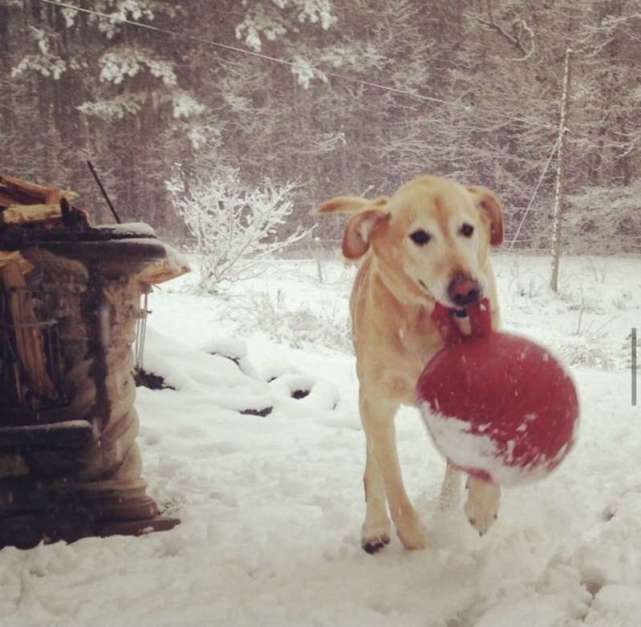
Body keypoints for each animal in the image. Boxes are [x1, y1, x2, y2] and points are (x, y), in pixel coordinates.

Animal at [318, 174, 502, 552]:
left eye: (467, 228)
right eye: (419, 236)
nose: (468, 290)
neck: (427, 323)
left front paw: (481, 503)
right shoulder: (377, 403)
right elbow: (391, 476)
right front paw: (412, 534)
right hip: (368, 394)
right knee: (373, 463)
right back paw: (375, 525)